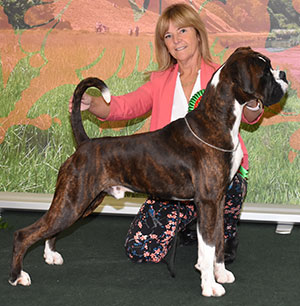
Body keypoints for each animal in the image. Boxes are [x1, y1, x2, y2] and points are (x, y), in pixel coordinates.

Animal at [8, 47, 288, 296]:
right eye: (265, 71)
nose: (284, 73)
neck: (217, 121)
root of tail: (85, 143)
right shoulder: (208, 202)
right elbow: (207, 248)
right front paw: (209, 287)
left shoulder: (217, 202)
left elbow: (217, 241)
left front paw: (220, 274)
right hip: (73, 202)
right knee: (23, 234)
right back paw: (17, 277)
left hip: (82, 202)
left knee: (49, 229)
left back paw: (50, 256)